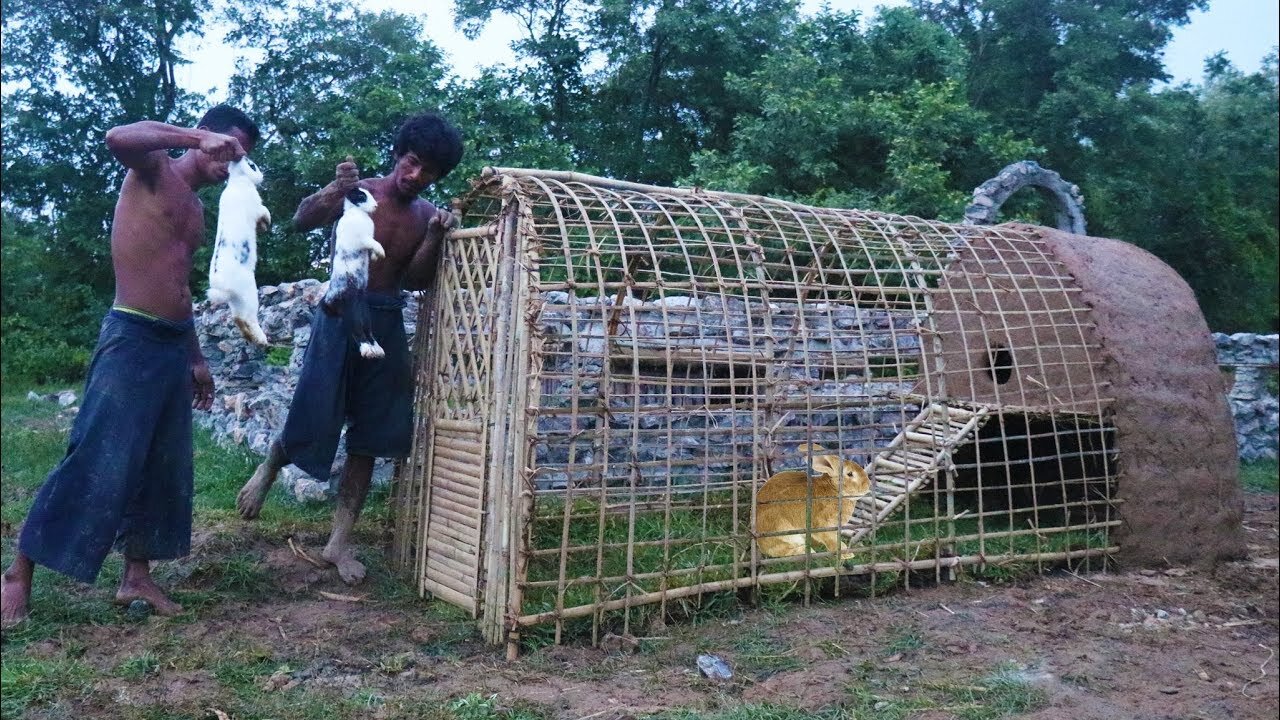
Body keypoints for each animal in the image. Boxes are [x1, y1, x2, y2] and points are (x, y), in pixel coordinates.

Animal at [208, 155, 271, 345]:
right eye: (252, 165)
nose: (262, 175)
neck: (238, 180)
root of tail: (221, 287)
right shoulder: (257, 207)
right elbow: (264, 211)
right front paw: (267, 224)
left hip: (236, 300)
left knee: (237, 319)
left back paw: (253, 339)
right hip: (249, 291)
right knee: (248, 317)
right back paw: (262, 339)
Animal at [320, 185, 384, 356]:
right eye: (361, 196)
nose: (376, 206)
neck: (357, 212)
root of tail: (331, 302)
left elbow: (373, 248)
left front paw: (376, 257)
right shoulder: (363, 238)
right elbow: (375, 243)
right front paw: (382, 253)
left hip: (363, 308)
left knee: (367, 330)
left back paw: (377, 350)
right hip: (350, 309)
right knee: (356, 331)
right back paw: (368, 351)